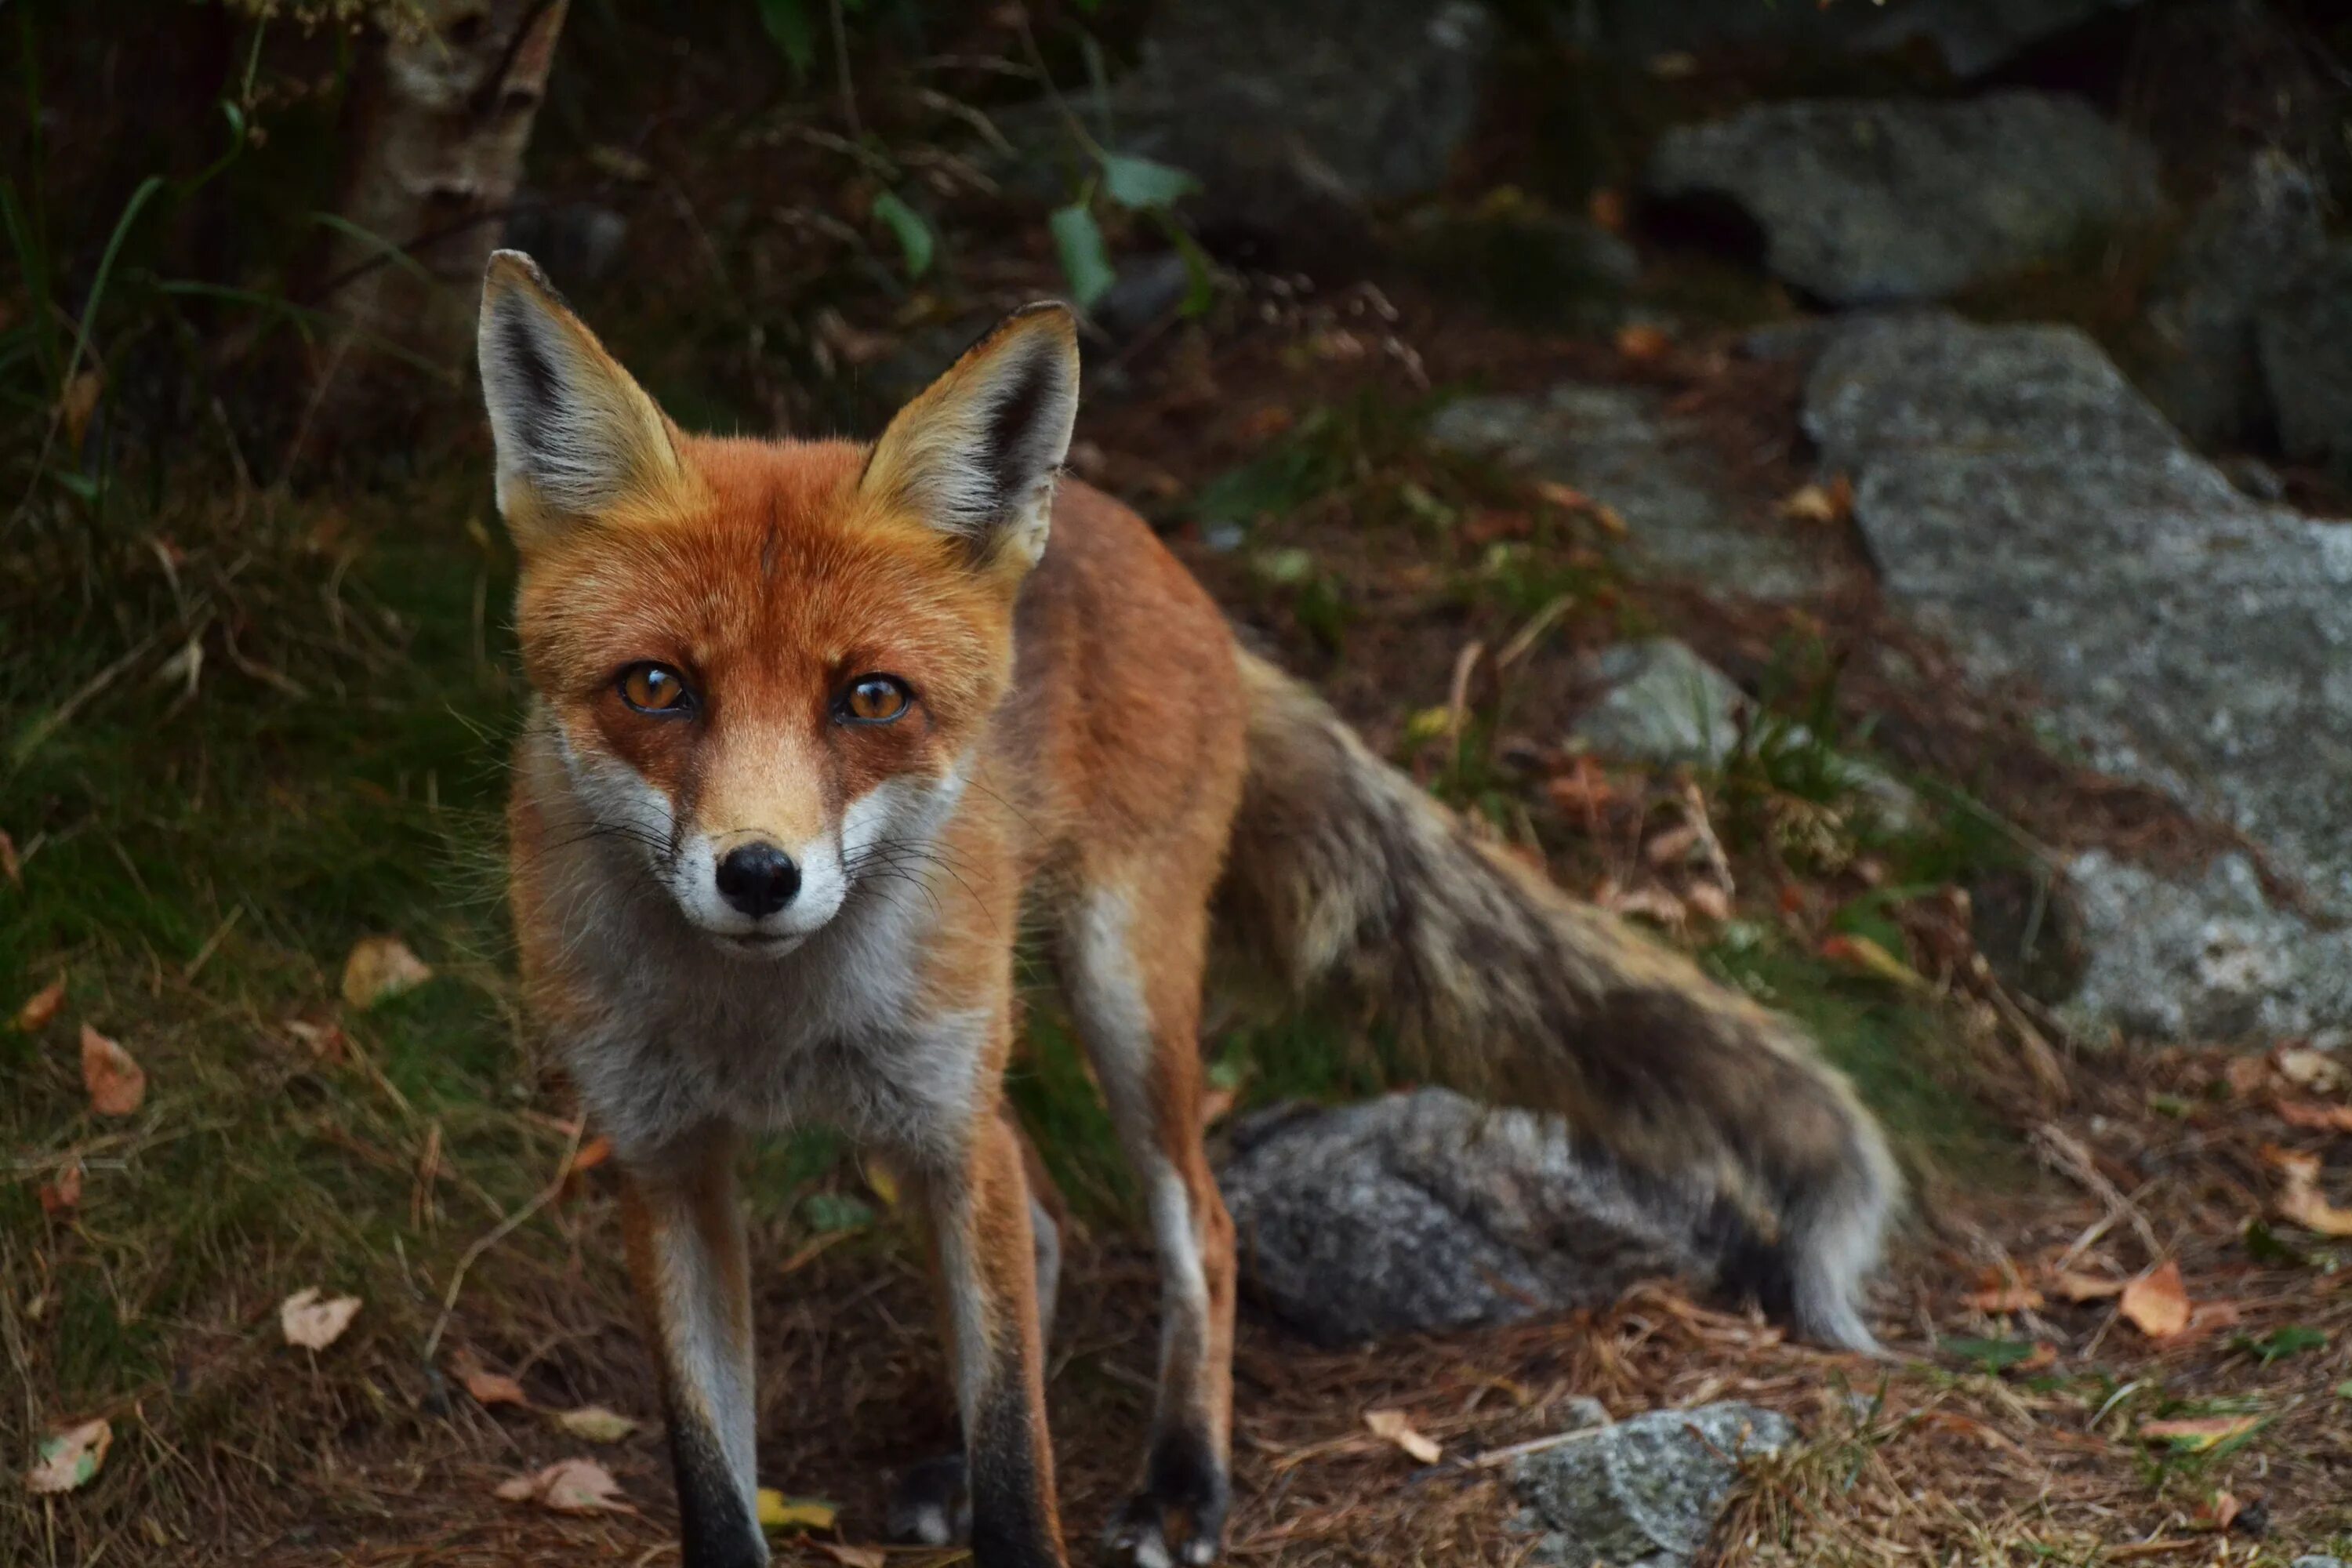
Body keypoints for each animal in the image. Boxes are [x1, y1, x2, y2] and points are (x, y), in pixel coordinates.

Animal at [477, 248, 1891, 1568]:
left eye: (870, 699)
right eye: (656, 687)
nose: (760, 875)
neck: (757, 1024)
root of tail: (1142, 540)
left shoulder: (947, 1127)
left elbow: (1022, 1467)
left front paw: (1043, 1494)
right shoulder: (664, 1164)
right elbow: (717, 1486)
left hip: (1111, 1001)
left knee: (1198, 1228)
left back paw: (1182, 1483)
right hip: (953, 1088)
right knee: (1047, 1228)